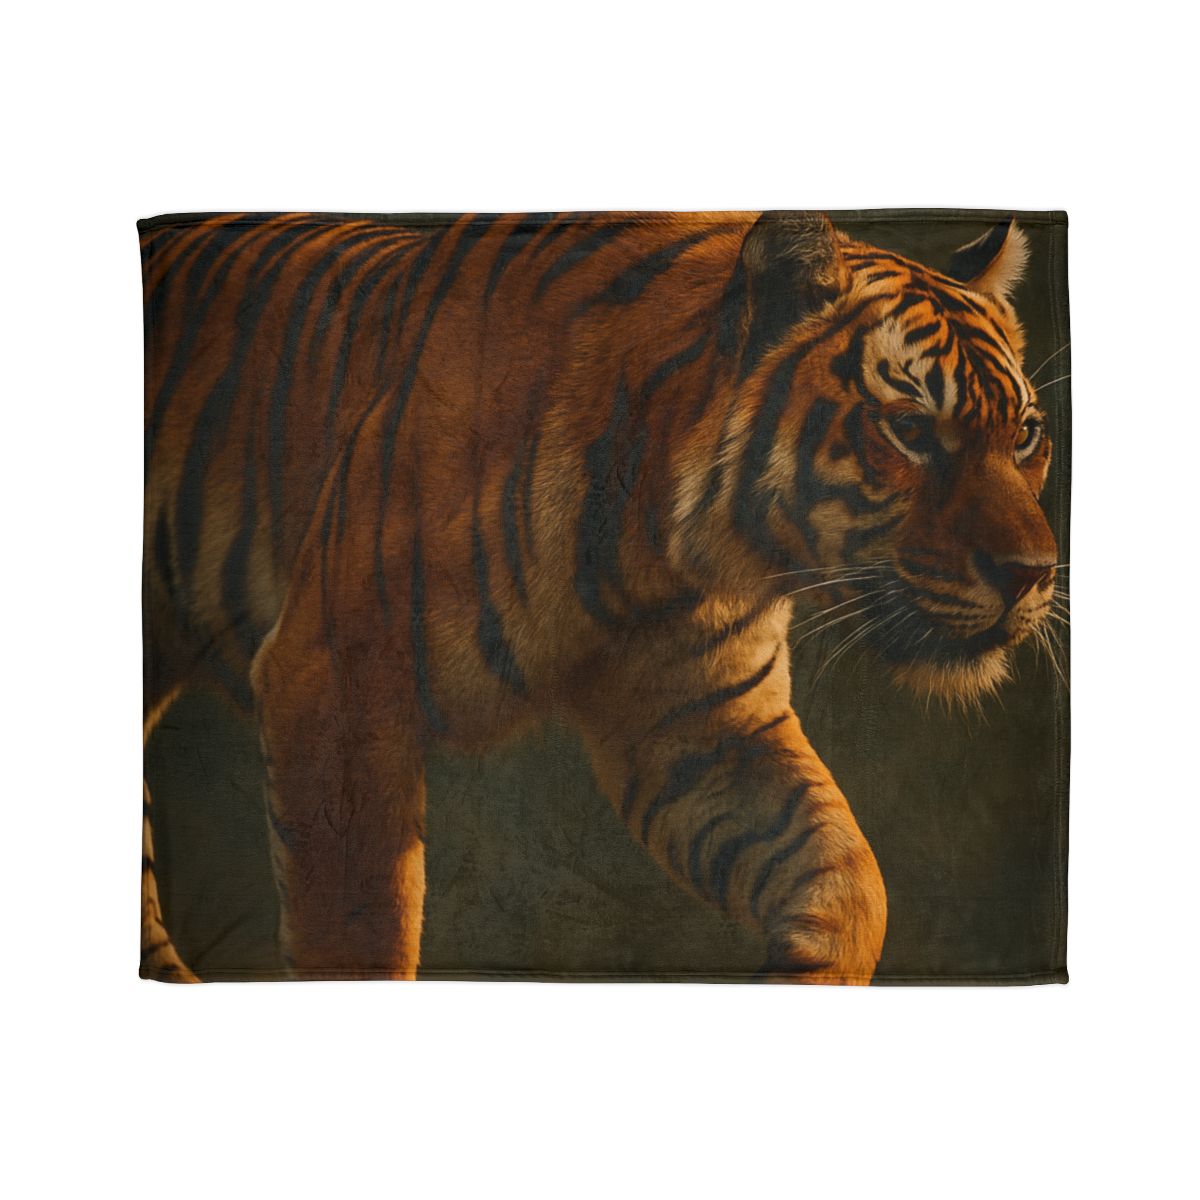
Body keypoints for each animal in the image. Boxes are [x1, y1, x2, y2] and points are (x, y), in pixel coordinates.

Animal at [141, 210, 1058, 984]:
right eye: (909, 430)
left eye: (1024, 435)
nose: (1034, 572)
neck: (662, 554)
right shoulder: (334, 681)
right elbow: (356, 931)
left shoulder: (705, 727)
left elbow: (849, 881)